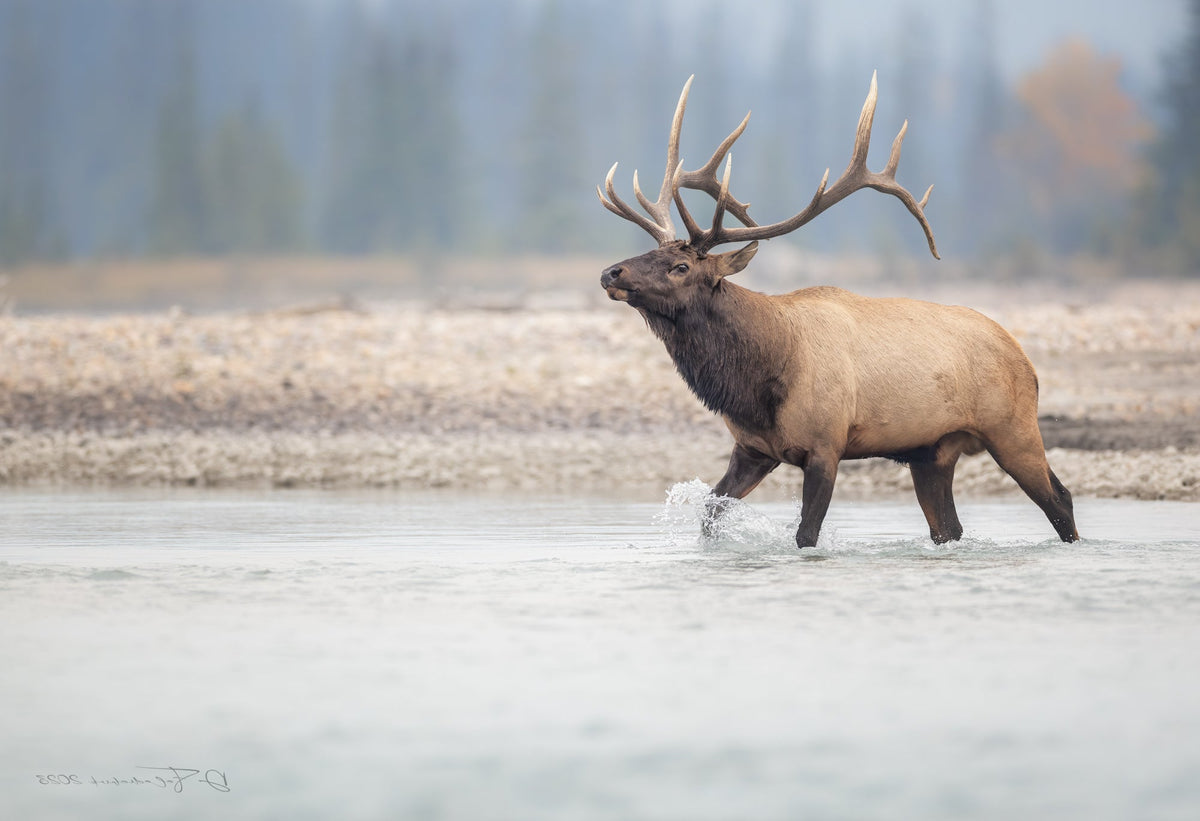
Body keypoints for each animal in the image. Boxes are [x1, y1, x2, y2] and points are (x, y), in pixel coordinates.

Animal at [597, 73, 1078, 548]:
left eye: (681, 267)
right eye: (651, 252)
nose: (611, 272)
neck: (759, 381)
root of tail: (1026, 361)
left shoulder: (826, 445)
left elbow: (806, 536)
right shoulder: (752, 449)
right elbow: (710, 515)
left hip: (1013, 429)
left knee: (1060, 498)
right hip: (932, 452)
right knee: (949, 528)